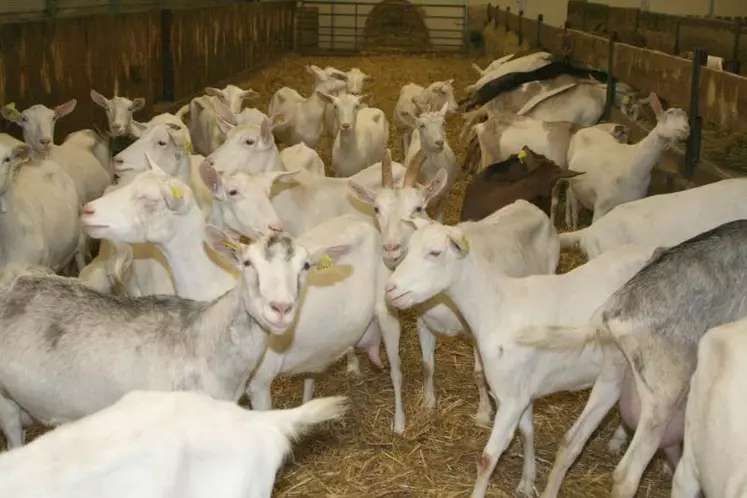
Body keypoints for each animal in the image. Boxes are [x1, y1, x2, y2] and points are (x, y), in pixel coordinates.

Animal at [386, 213, 656, 498]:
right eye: (408, 248)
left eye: (435, 253)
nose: (390, 289)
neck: (498, 306)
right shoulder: (521, 391)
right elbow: (527, 431)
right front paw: (527, 482)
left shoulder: (510, 400)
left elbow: (487, 459)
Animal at [568, 92, 692, 229]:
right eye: (668, 114)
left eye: (687, 119)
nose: (686, 129)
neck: (633, 165)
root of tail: (586, 129)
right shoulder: (601, 206)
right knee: (572, 198)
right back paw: (572, 224)